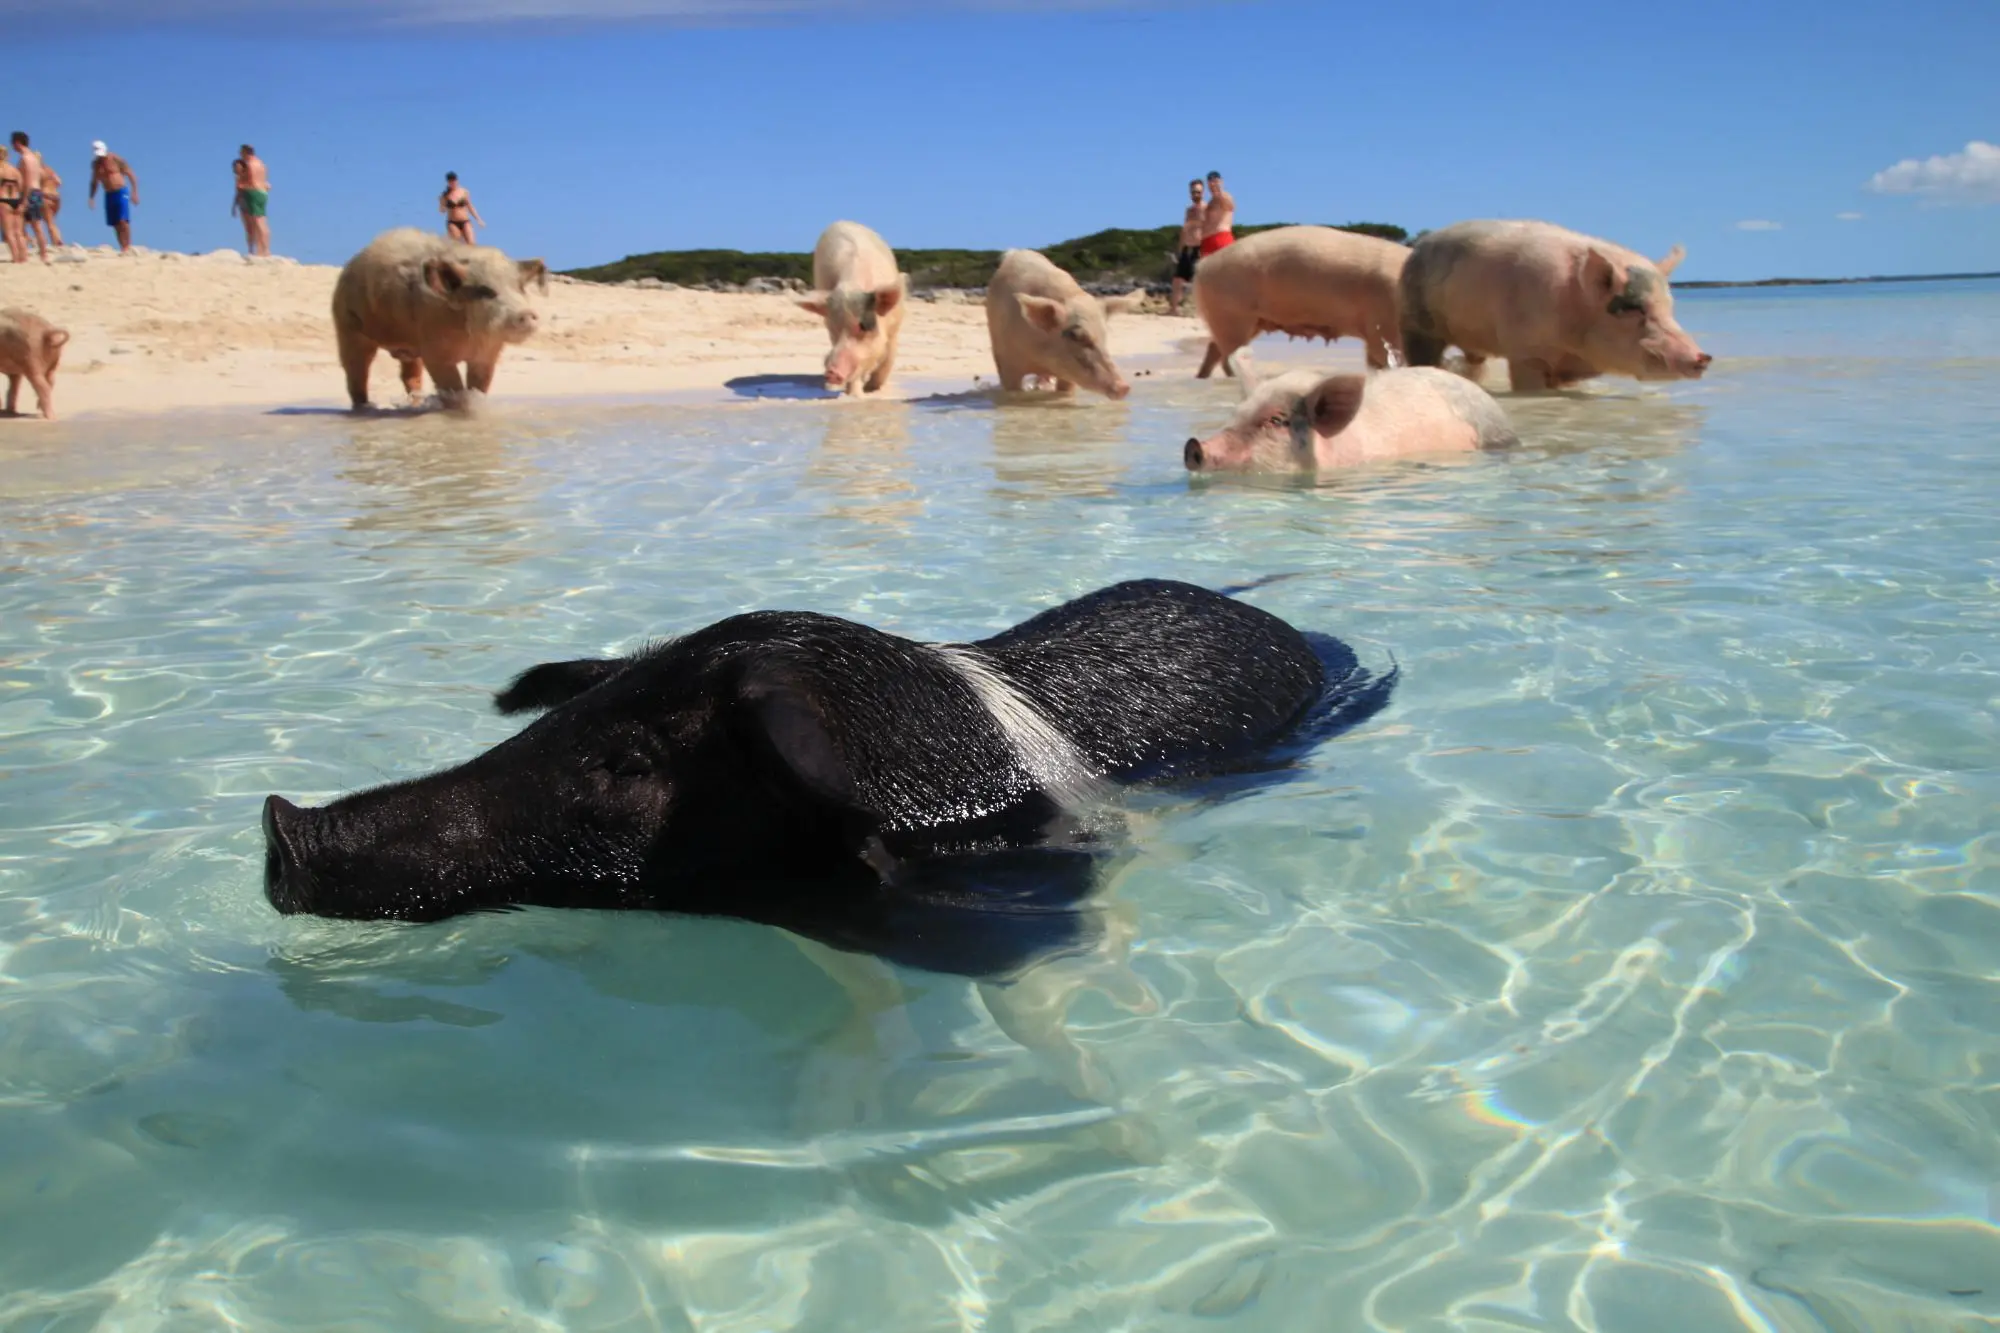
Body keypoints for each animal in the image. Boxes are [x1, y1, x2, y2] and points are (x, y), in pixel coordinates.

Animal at [1400, 218, 1712, 390]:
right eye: (1634, 308)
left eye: (1670, 307)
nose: (1703, 357)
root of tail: (1419, 246)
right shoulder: (1526, 352)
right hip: (1415, 321)